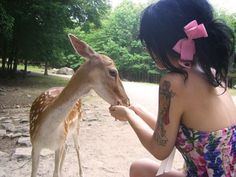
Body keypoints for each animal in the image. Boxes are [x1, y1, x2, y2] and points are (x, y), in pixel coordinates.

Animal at [29, 33, 131, 177]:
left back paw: (80, 173)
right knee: (68, 148)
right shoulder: (34, 145)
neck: (48, 132)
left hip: (77, 126)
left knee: (76, 147)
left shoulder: (58, 145)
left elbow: (55, 173)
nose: (127, 101)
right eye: (113, 72)